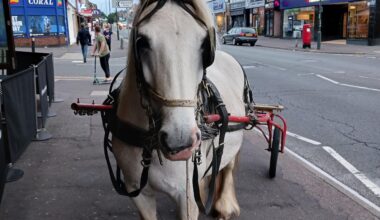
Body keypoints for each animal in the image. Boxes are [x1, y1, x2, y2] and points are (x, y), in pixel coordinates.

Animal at [110, 0, 246, 218]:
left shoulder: (186, 196)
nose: (180, 141)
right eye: (142, 42)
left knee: (228, 165)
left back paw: (225, 206)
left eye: (204, 44)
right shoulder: (138, 193)